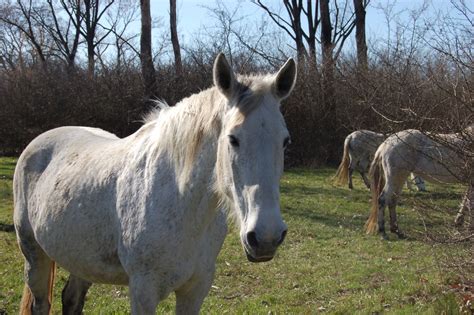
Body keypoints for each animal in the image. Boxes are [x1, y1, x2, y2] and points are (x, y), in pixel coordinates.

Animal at [12, 53, 296, 314]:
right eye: (233, 139)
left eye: (285, 141)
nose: (266, 237)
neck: (180, 202)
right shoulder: (143, 291)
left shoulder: (195, 289)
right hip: (33, 254)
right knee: (41, 304)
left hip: (79, 259)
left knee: (71, 299)